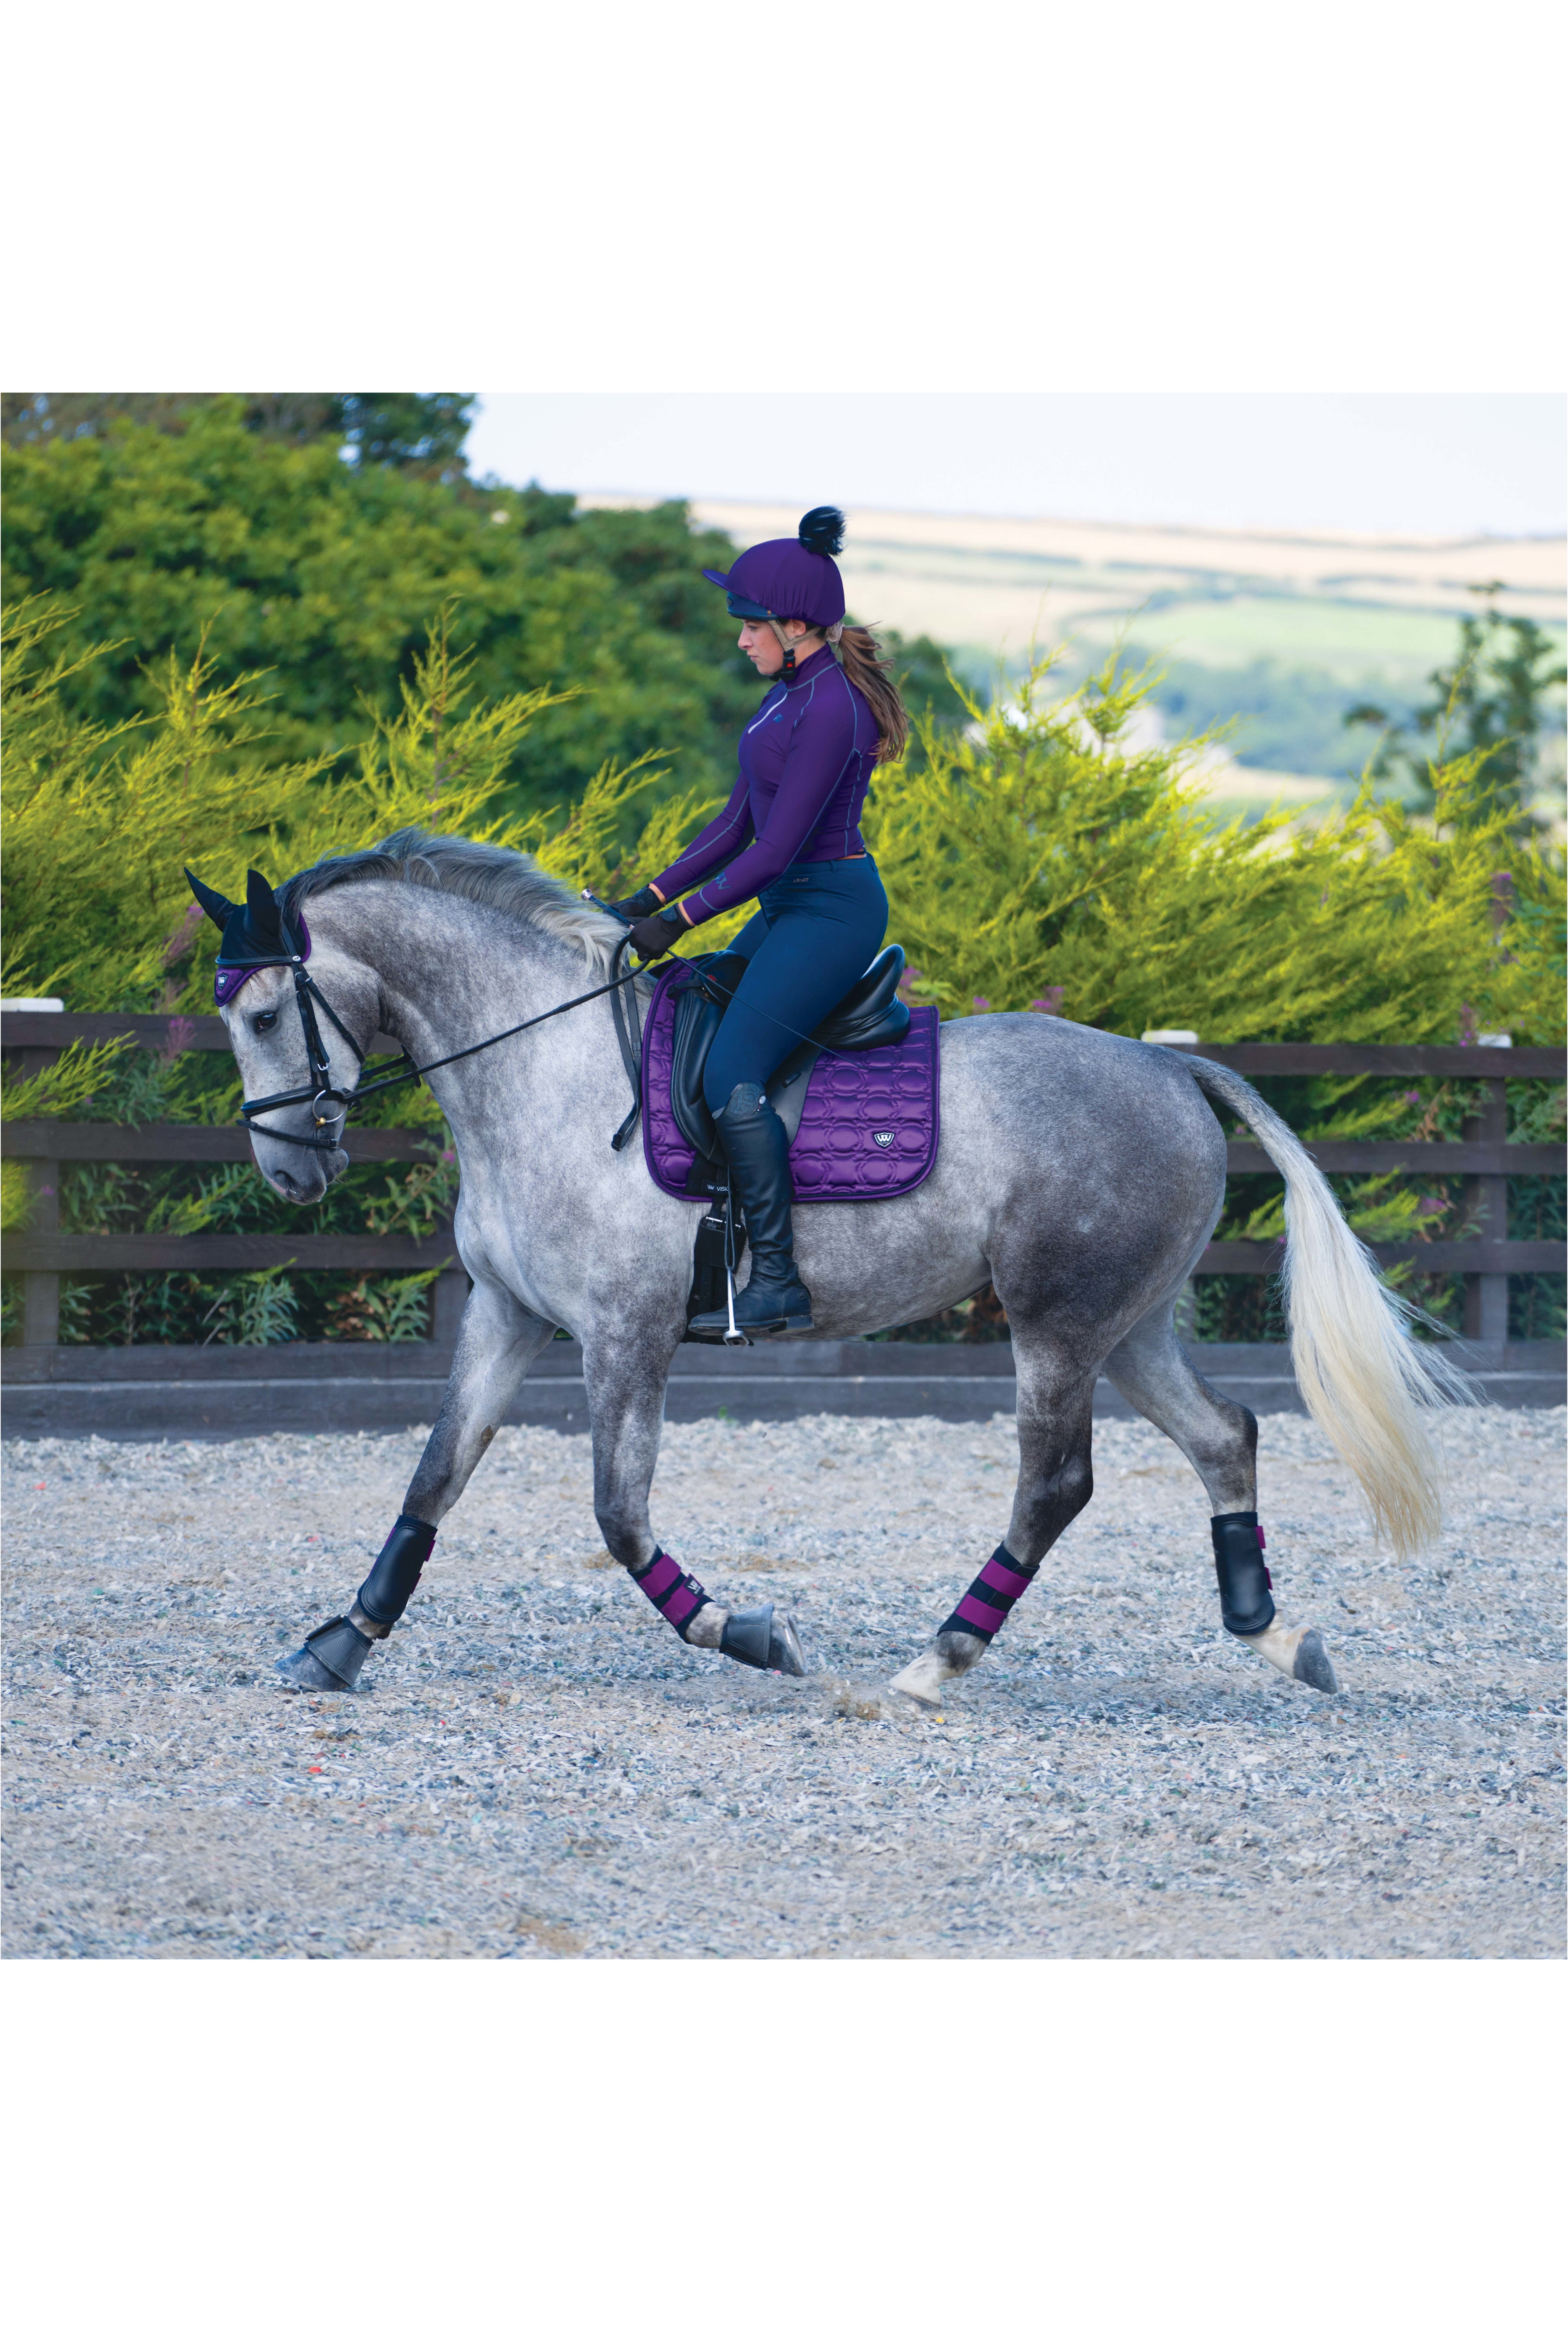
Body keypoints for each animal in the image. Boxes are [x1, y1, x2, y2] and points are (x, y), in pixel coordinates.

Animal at [208, 827, 1463, 1704]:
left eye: (265, 1015)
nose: (288, 1172)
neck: (542, 1066)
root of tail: (1168, 1069)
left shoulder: (625, 1333)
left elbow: (619, 1513)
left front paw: (750, 1635)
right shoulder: (506, 1318)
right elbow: (435, 1475)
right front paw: (340, 1642)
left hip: (1057, 1324)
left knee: (1056, 1483)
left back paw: (939, 1659)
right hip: (1128, 1324)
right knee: (1222, 1436)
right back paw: (1274, 1633)